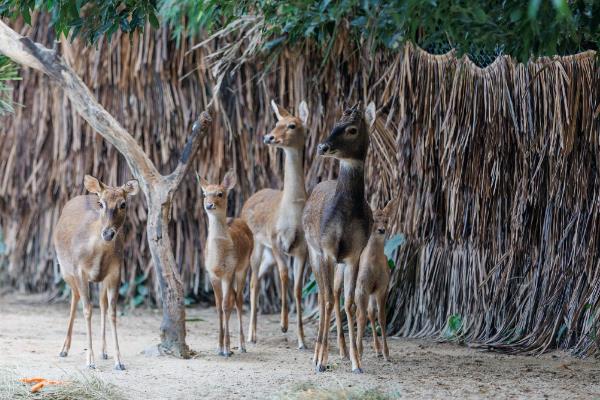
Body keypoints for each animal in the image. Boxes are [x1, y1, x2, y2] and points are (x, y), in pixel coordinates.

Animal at [53, 175, 139, 368]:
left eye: (123, 204)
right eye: (101, 203)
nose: (107, 233)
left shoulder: (116, 273)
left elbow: (112, 312)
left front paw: (118, 361)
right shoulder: (79, 271)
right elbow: (87, 310)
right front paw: (90, 361)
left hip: (100, 280)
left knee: (102, 304)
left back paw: (104, 351)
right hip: (65, 270)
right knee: (74, 298)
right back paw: (63, 349)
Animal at [198, 170, 252, 354]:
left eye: (220, 193)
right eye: (204, 194)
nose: (209, 205)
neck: (219, 259)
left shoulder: (229, 271)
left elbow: (225, 305)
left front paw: (227, 349)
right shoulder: (212, 274)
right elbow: (218, 307)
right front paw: (219, 346)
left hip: (244, 266)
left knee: (239, 300)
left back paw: (242, 345)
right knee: (233, 298)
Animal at [241, 101, 310, 350]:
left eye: (292, 125)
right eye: (276, 122)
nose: (268, 137)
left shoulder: (302, 249)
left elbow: (298, 288)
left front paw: (302, 340)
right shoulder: (275, 240)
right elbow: (284, 275)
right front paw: (283, 324)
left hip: (268, 255)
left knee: (259, 277)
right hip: (258, 247)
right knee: (253, 282)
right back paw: (250, 336)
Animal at [302, 101, 378, 374]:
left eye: (352, 129)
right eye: (335, 123)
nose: (322, 147)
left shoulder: (354, 253)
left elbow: (350, 303)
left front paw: (357, 362)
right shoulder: (325, 249)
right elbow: (324, 301)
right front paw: (320, 361)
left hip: (339, 262)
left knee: (334, 294)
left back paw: (344, 351)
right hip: (312, 252)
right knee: (323, 295)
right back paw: (316, 354)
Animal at [354, 202, 396, 360]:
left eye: (386, 220)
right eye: (373, 220)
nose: (381, 230)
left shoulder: (383, 287)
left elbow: (382, 317)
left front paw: (386, 353)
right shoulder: (362, 287)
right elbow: (361, 317)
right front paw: (359, 352)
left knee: (371, 313)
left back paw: (377, 350)